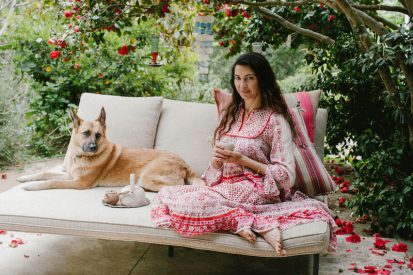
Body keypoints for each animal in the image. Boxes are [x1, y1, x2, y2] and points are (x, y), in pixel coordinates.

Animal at [19, 108, 203, 192]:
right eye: (86, 133)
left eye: (98, 135)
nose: (93, 147)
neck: (80, 156)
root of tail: (183, 163)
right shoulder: (70, 176)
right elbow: (45, 173)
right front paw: (26, 178)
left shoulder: (79, 183)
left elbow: (52, 181)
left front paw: (33, 186)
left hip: (147, 177)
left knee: (178, 187)